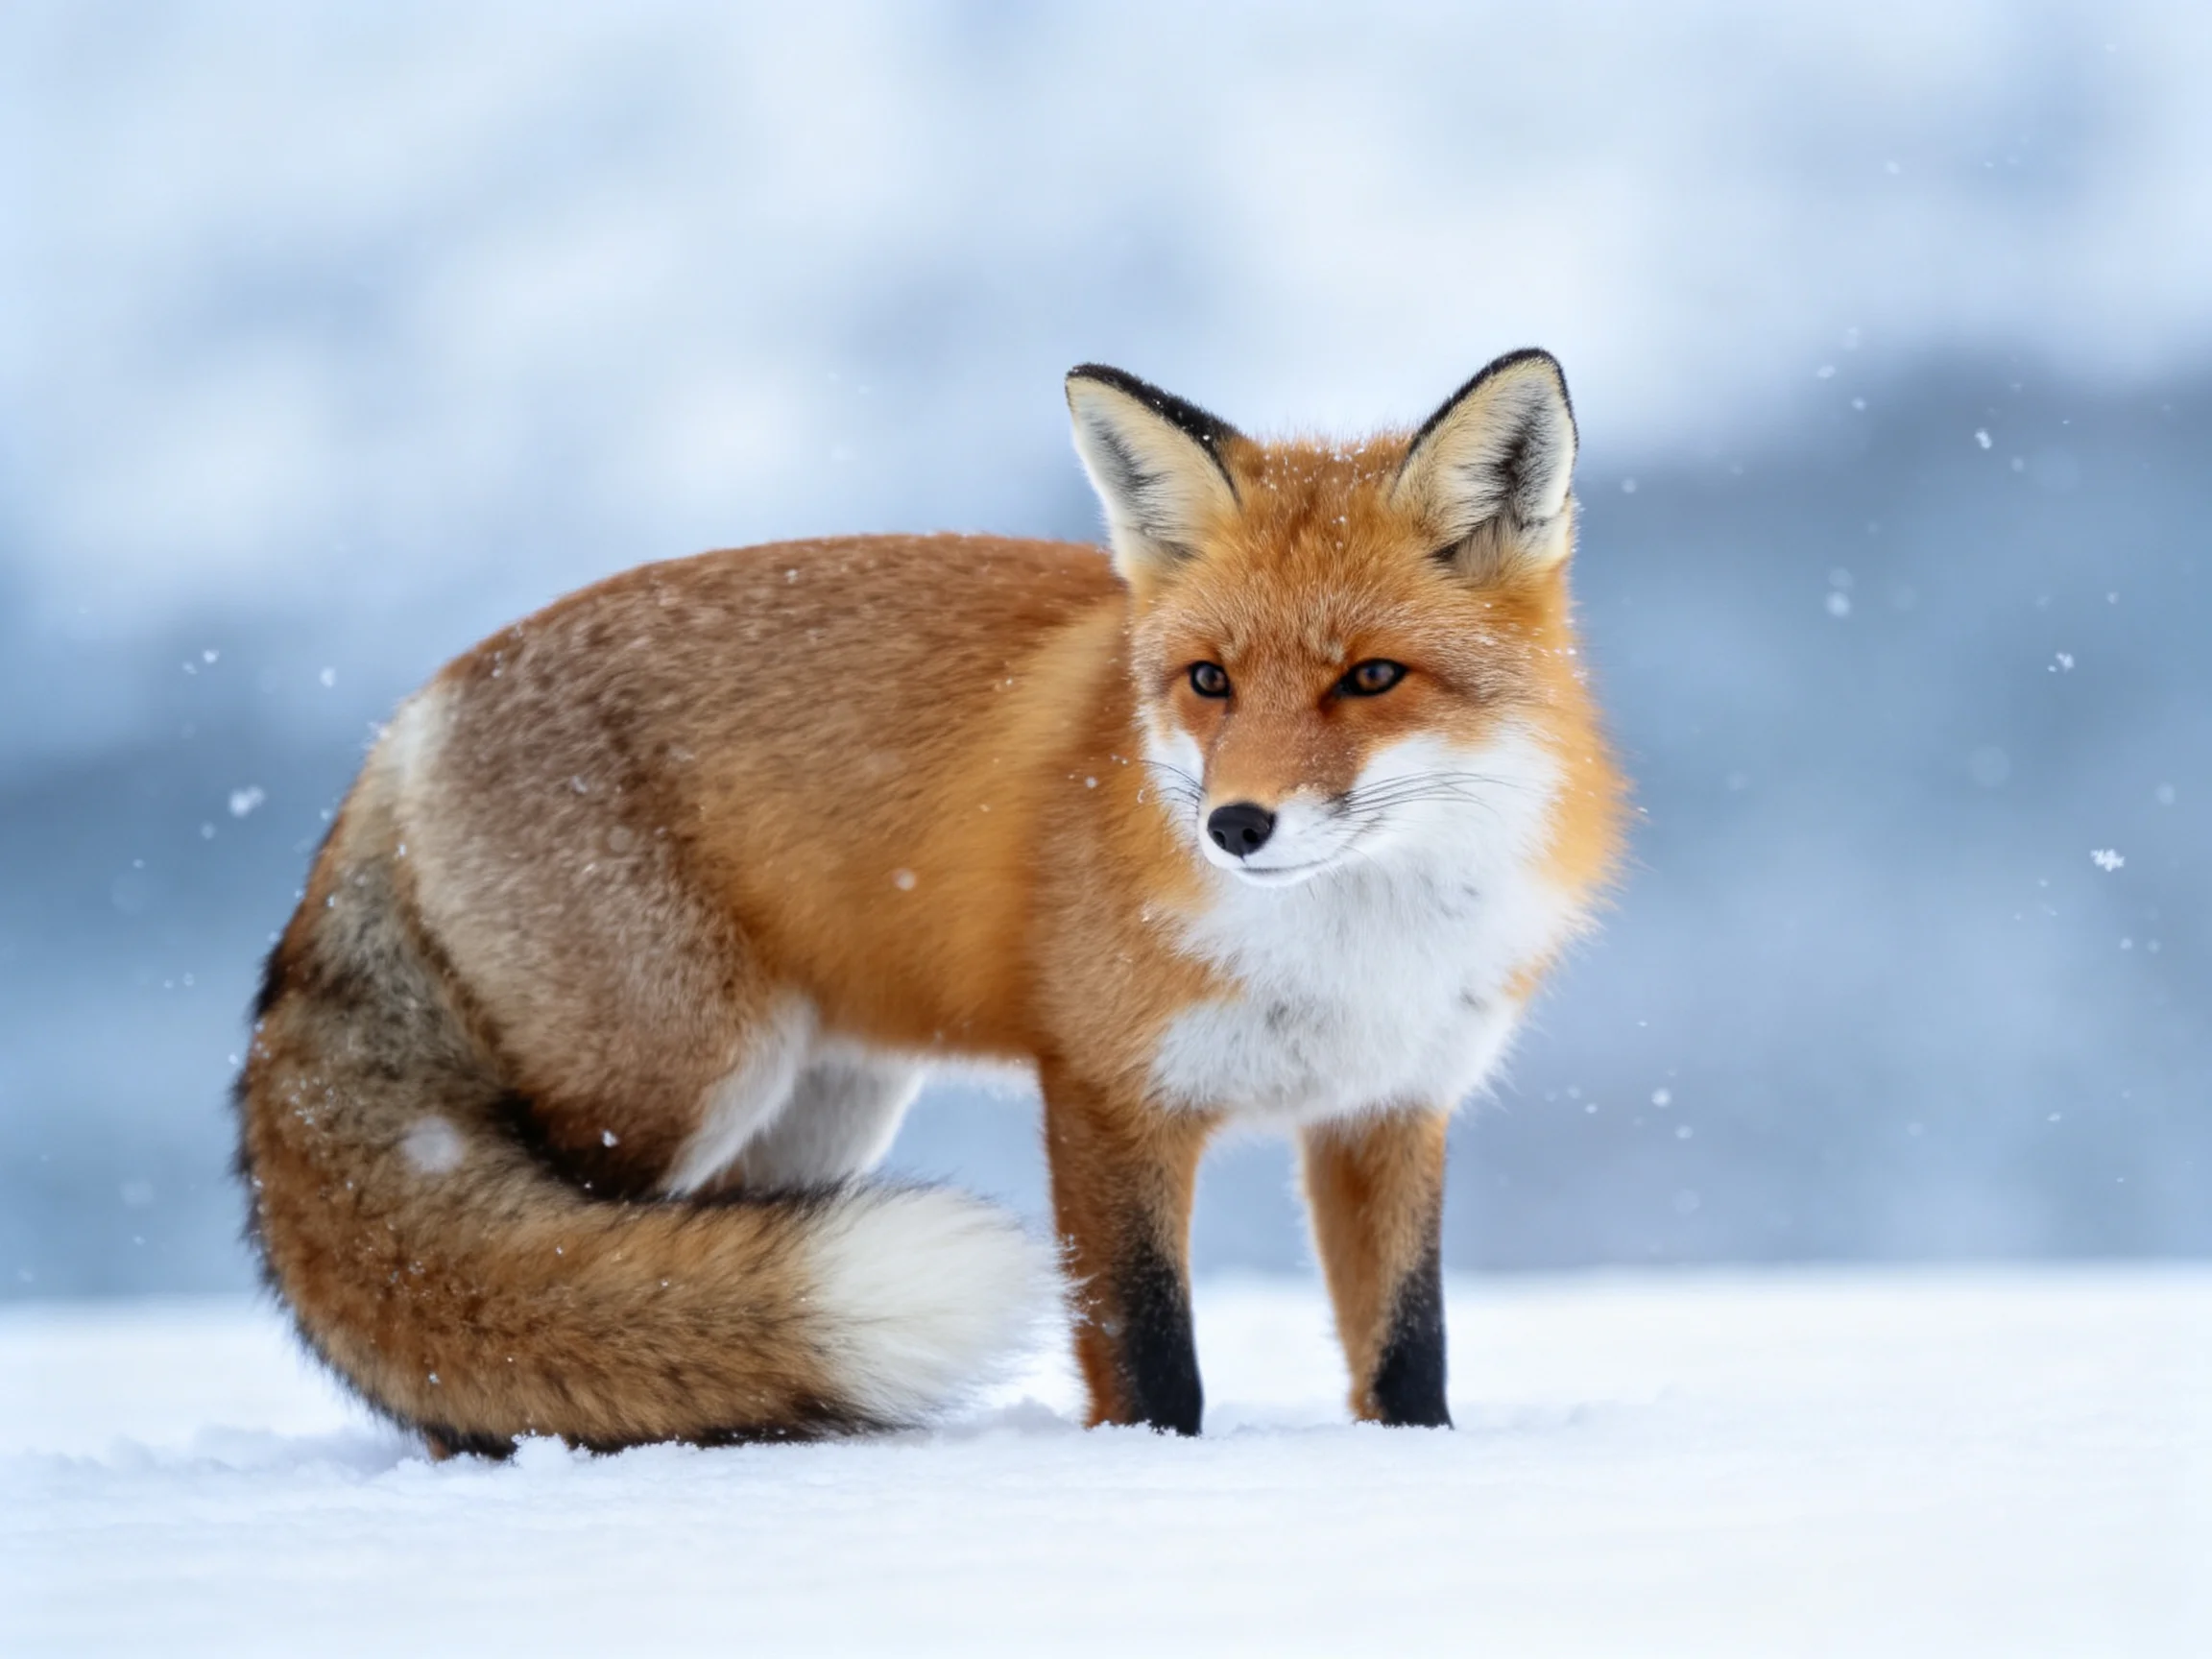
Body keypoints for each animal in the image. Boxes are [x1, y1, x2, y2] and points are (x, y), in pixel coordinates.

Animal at [234, 347, 1624, 1453]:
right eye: (1210, 681)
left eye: (1372, 677)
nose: (1236, 826)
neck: (1347, 947)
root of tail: (405, 722)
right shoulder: (1107, 1093)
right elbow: (1147, 1355)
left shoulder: (1388, 1108)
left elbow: (1406, 1351)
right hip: (667, 1091)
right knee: (532, 1298)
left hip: (816, 1118)